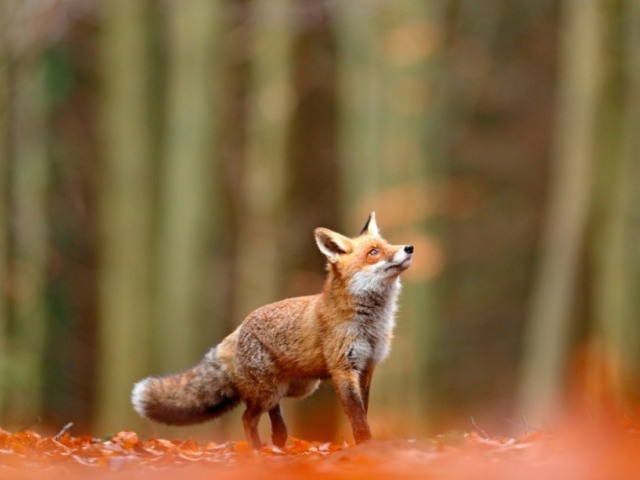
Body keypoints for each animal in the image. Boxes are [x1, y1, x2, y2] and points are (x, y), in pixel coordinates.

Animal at [132, 212, 412, 448]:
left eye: (387, 244)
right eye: (374, 252)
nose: (409, 248)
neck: (371, 324)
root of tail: (238, 329)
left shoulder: (367, 367)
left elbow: (363, 411)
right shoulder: (343, 369)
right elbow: (357, 417)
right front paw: (365, 447)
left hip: (295, 387)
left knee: (273, 414)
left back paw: (278, 441)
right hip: (270, 390)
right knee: (248, 418)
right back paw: (258, 451)